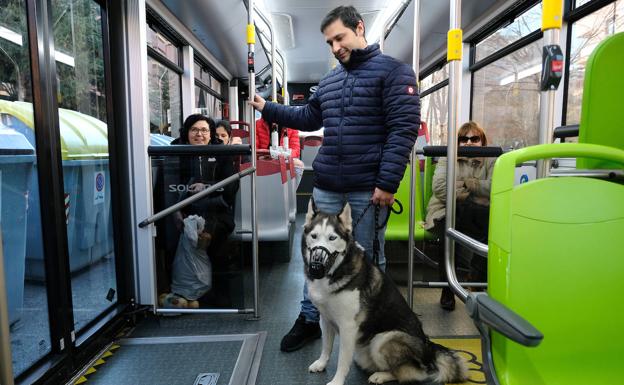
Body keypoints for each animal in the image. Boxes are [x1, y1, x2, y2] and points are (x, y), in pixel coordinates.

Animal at [302, 200, 468, 384]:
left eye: (332, 238)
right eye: (314, 236)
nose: (316, 264)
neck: (336, 271)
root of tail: (428, 347)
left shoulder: (348, 327)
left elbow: (342, 361)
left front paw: (337, 381)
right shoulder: (326, 319)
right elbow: (326, 346)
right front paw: (321, 363)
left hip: (382, 340)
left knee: (412, 372)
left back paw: (381, 376)